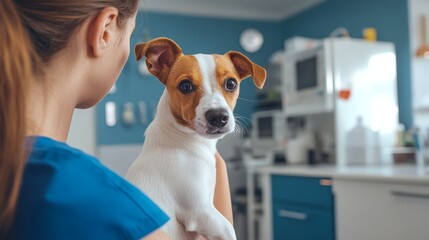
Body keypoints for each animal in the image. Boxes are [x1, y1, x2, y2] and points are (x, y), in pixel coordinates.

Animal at [124, 38, 264, 240]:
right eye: (185, 86)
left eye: (231, 83)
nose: (218, 116)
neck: (182, 141)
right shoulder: (201, 212)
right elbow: (230, 229)